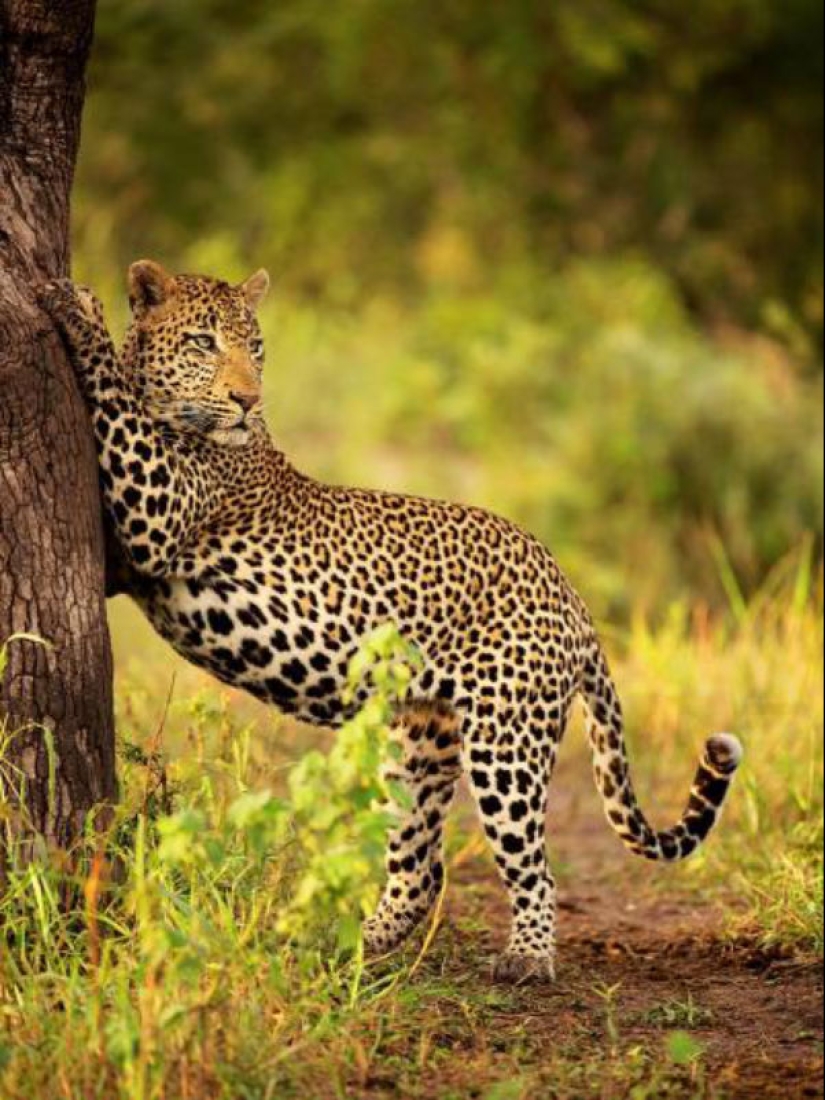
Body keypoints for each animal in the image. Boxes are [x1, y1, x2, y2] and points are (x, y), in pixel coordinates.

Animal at [38, 264, 748, 981]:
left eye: (256, 347)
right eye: (204, 343)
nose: (246, 398)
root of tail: (570, 594)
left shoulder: (154, 510)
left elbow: (115, 399)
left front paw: (76, 306)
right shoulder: (123, 558)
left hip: (507, 742)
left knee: (533, 869)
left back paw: (526, 956)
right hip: (418, 745)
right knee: (420, 865)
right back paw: (356, 943)